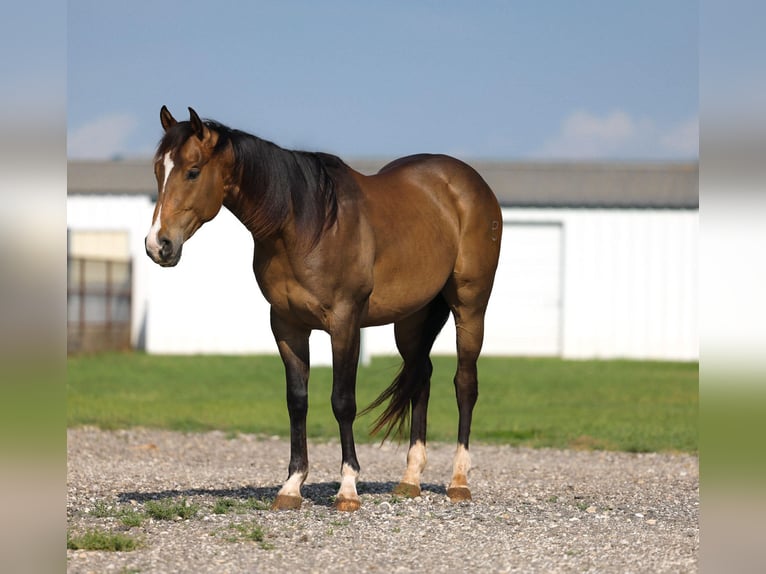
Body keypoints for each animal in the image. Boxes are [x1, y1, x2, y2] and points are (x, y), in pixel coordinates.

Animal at [145, 106, 502, 511]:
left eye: (192, 171)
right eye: (158, 170)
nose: (158, 245)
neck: (303, 225)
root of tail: (468, 182)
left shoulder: (344, 323)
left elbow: (342, 401)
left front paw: (347, 488)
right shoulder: (287, 326)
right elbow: (297, 402)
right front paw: (291, 486)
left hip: (470, 306)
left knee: (464, 384)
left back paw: (459, 481)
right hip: (412, 318)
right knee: (421, 377)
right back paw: (410, 479)